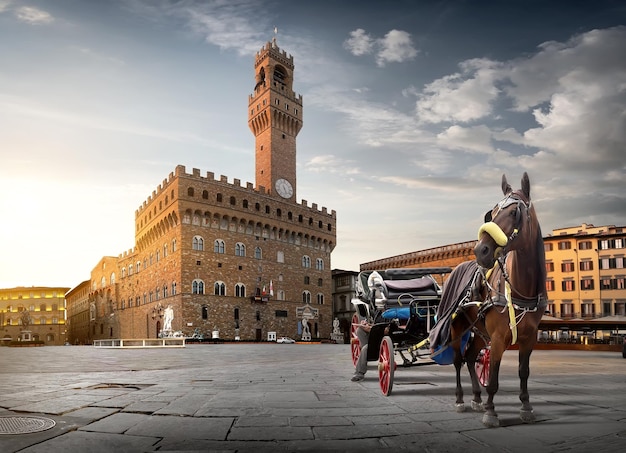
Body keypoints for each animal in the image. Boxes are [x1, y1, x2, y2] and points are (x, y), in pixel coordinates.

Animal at [448, 171, 544, 426]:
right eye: (491, 212)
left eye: (514, 213)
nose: (480, 250)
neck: (522, 289)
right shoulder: (499, 337)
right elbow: (493, 378)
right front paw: (492, 412)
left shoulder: (530, 337)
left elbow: (523, 372)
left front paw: (526, 406)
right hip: (456, 327)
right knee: (458, 359)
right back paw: (460, 399)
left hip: (481, 333)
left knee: (471, 357)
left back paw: (476, 397)